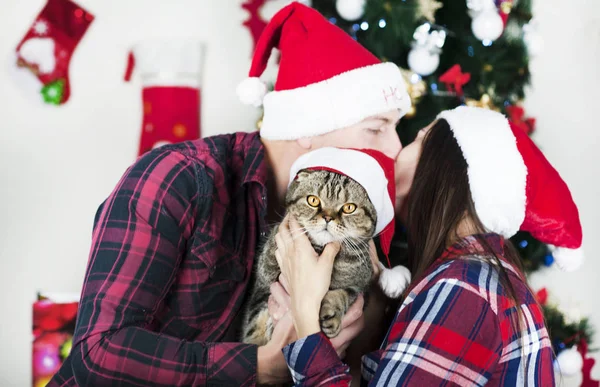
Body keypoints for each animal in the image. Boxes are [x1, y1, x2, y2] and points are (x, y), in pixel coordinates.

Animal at [243, 170, 376, 346]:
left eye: (349, 208)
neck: (320, 249)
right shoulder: (263, 287)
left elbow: (344, 293)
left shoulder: (361, 288)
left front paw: (331, 314)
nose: (327, 218)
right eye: (313, 200)